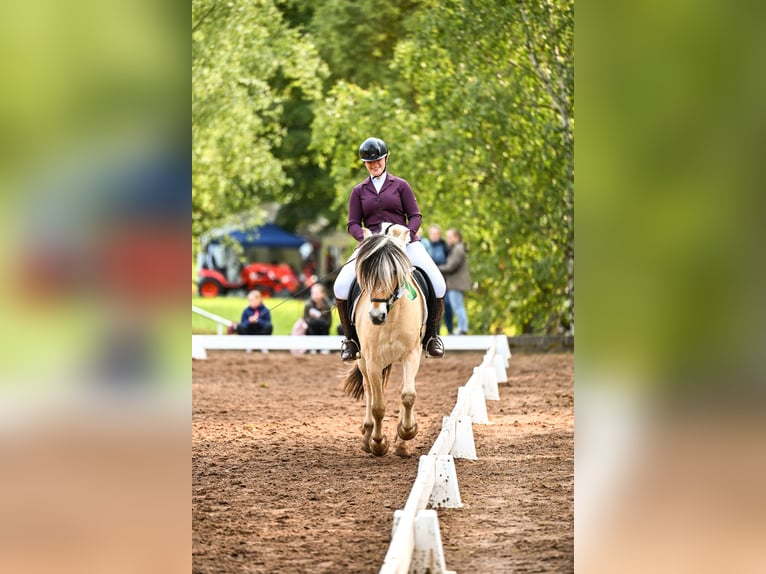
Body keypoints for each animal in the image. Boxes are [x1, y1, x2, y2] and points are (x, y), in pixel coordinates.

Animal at [342, 224, 426, 457]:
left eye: (395, 273)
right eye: (365, 275)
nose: (375, 316)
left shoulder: (411, 354)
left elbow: (407, 395)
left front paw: (406, 433)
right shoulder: (372, 360)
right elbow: (378, 406)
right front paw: (378, 443)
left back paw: (401, 443)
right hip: (363, 360)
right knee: (369, 391)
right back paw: (367, 435)